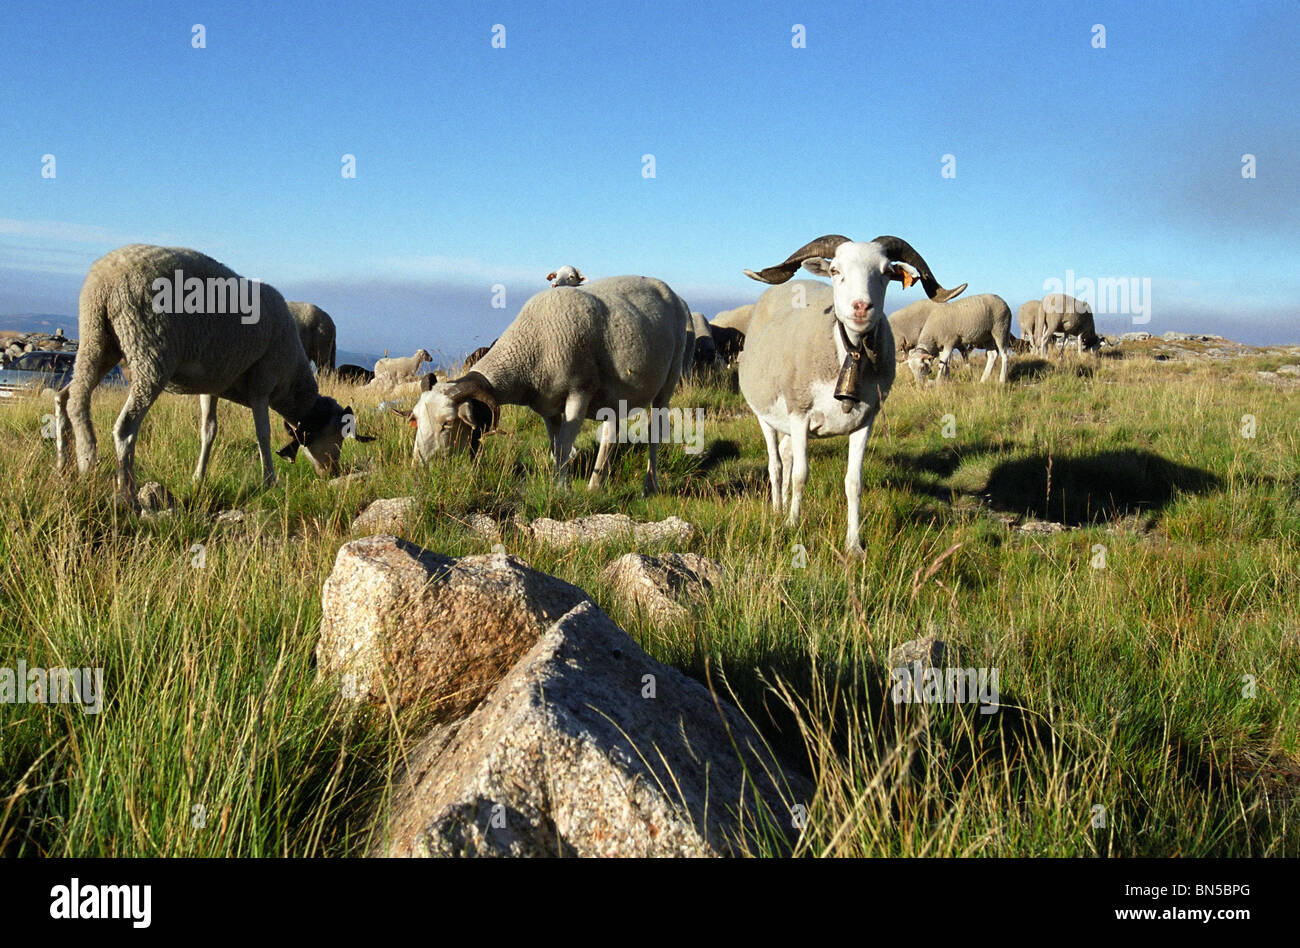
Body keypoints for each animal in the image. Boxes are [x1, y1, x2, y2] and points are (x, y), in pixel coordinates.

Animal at [53, 245, 374, 509]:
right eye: (337, 436)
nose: (332, 473)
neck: (291, 384)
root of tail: (103, 282)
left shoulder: (212, 386)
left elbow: (208, 431)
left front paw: (199, 477)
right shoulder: (262, 383)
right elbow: (263, 434)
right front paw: (269, 480)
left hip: (99, 339)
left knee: (68, 397)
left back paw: (67, 465)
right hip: (148, 353)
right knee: (124, 428)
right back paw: (126, 494)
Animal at [405, 273, 691, 491]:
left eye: (448, 423)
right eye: (416, 419)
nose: (416, 468)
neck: (531, 345)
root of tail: (670, 291)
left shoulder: (579, 393)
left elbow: (564, 447)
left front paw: (561, 490)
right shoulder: (547, 408)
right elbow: (555, 448)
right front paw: (562, 483)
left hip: (669, 380)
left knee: (655, 432)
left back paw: (649, 485)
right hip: (617, 395)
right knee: (611, 434)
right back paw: (597, 485)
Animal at [743, 231, 967, 551]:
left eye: (886, 272)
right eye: (836, 271)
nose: (861, 307)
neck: (849, 354)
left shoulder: (865, 421)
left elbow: (854, 483)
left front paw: (854, 545)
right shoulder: (800, 414)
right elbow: (800, 475)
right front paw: (793, 525)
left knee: (785, 456)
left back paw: (784, 504)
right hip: (766, 414)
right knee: (776, 465)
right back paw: (777, 510)